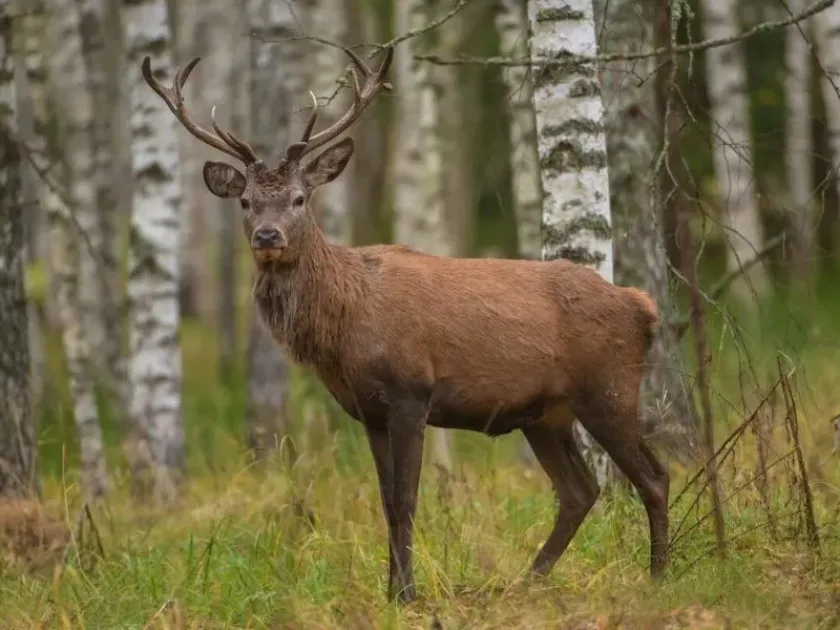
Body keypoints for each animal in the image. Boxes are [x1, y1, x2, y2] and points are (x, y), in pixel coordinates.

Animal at [141, 44, 670, 604]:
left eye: (299, 199)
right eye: (245, 202)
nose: (267, 236)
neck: (344, 327)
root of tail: (642, 306)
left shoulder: (411, 392)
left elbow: (408, 497)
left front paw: (408, 593)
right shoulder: (369, 411)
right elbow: (386, 500)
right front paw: (391, 590)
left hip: (608, 388)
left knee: (653, 476)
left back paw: (658, 575)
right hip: (546, 414)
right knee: (579, 490)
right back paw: (527, 579)